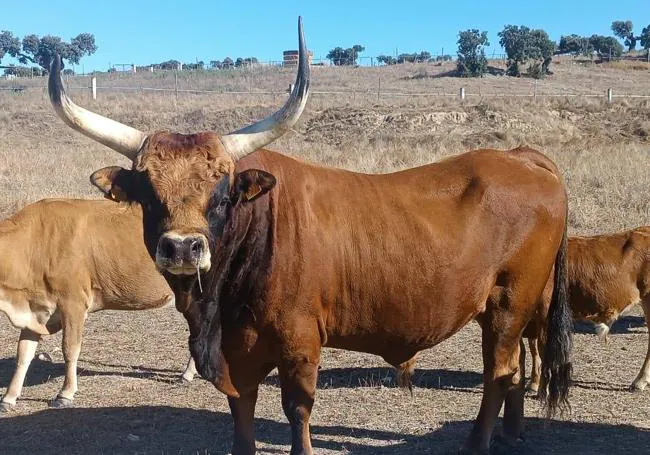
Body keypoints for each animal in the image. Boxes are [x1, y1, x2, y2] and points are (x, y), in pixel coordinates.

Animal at [0, 200, 195, 414]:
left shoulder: (73, 303)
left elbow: (70, 348)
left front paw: (65, 394)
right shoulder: (35, 310)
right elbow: (23, 354)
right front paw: (9, 397)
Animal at [48, 17, 568, 455]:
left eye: (222, 193)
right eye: (147, 192)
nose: (182, 247)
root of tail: (522, 157)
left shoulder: (299, 342)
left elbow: (297, 409)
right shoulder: (238, 352)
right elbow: (241, 409)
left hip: (509, 305)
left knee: (499, 373)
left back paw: (478, 443)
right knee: (514, 372)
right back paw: (512, 432)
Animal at [520, 228, 648, 396]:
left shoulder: (545, 311)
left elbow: (542, 349)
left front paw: (543, 388)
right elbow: (533, 348)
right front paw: (534, 383)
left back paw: (639, 381)